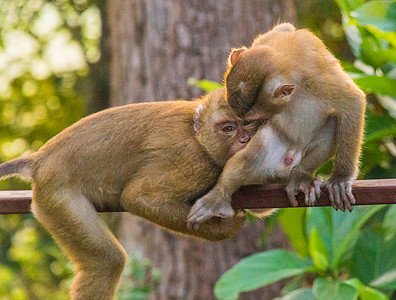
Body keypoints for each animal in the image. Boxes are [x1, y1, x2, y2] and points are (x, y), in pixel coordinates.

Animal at [0, 86, 272, 300]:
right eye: (228, 128)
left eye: (249, 124)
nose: (245, 140)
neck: (198, 136)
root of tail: (40, 160)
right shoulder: (192, 162)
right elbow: (137, 197)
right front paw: (224, 228)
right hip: (57, 197)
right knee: (106, 261)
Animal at [187, 23, 366, 229]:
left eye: (250, 121)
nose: (245, 136)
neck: (287, 60)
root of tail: (286, 164)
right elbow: (284, 28)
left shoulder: (319, 80)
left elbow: (352, 101)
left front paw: (341, 178)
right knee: (253, 155)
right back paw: (218, 197)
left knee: (333, 123)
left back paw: (302, 176)